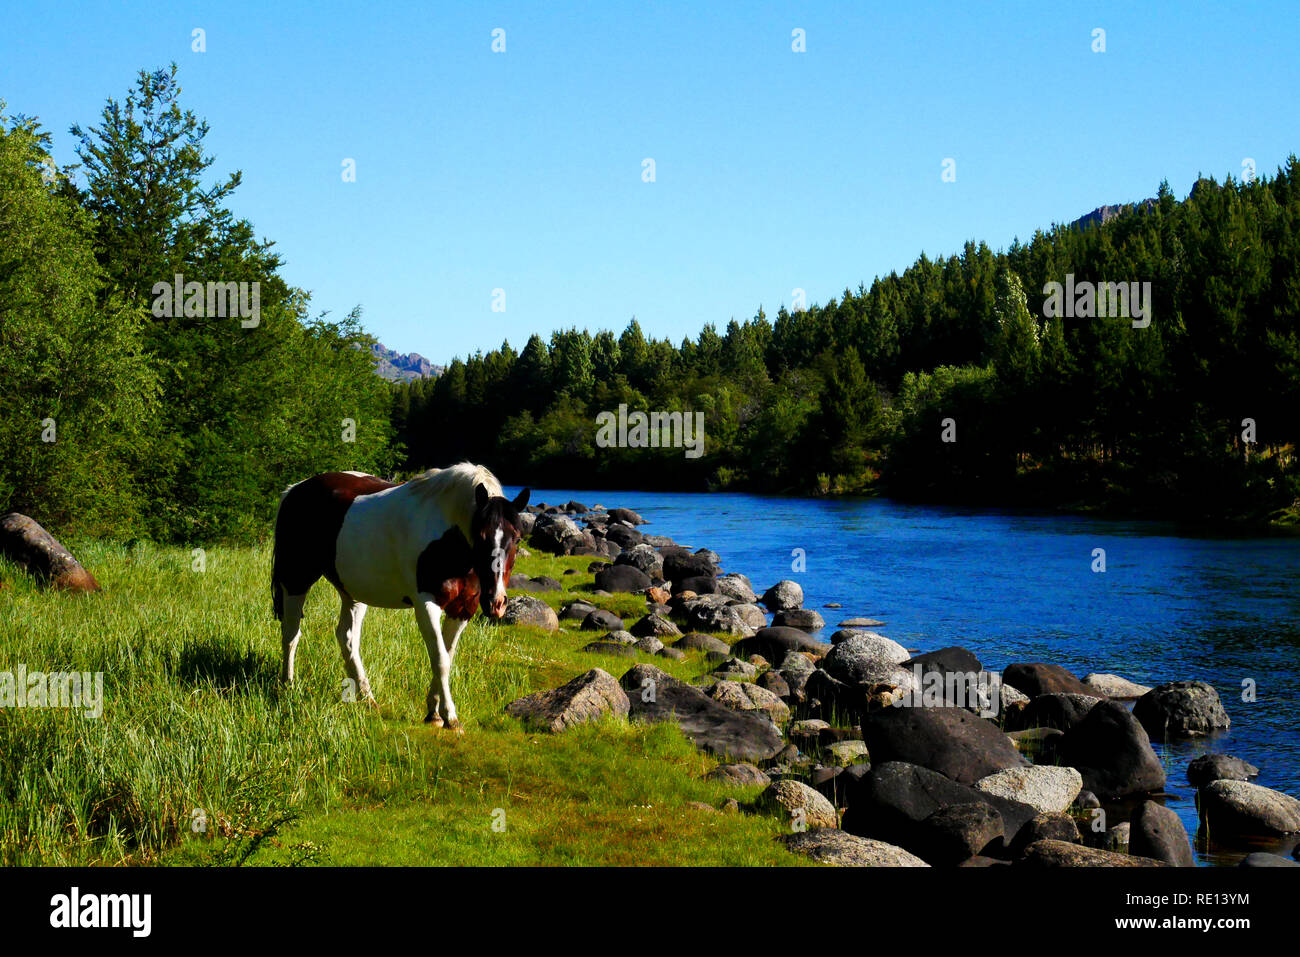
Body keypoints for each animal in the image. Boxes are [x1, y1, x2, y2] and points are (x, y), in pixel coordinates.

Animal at [269, 460, 527, 728]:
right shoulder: (426, 605)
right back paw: (288, 686)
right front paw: (449, 716)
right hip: (296, 580)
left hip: (353, 591)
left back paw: (367, 698)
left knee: (347, 638)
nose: (496, 602)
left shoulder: (462, 609)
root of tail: (295, 490)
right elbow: (440, 659)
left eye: (518, 538)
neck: (448, 537)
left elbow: (446, 656)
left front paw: (434, 712)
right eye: (481, 536)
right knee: (291, 634)